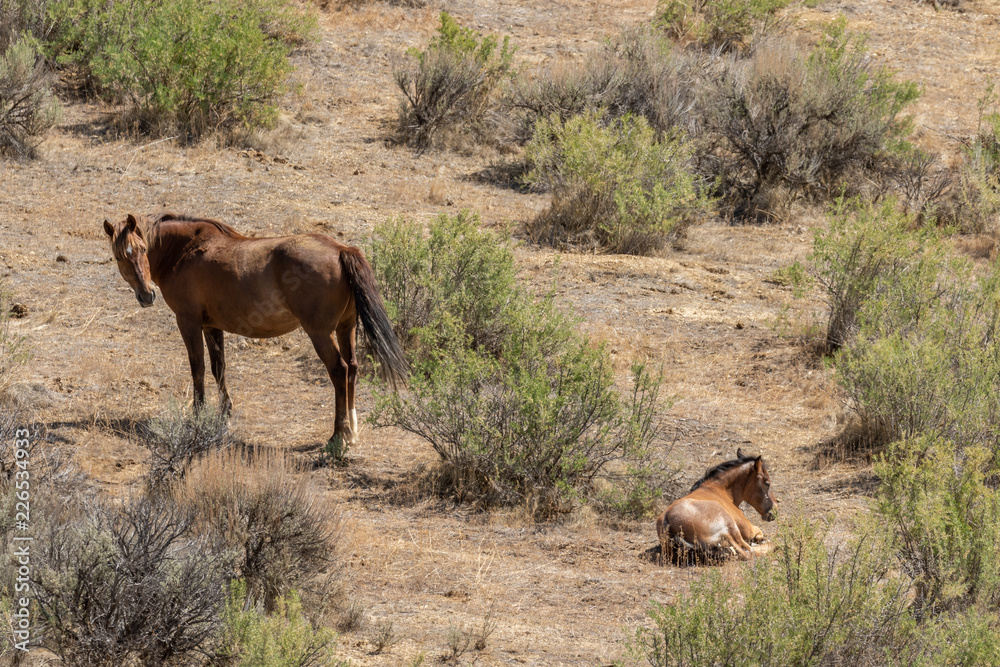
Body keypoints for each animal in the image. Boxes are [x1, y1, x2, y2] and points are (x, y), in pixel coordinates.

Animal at [103, 214, 408, 448]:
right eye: (119, 256)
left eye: (142, 249)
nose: (146, 295)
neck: (185, 250)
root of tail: (340, 249)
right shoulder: (212, 326)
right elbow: (219, 368)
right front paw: (224, 414)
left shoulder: (188, 321)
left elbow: (197, 368)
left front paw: (197, 416)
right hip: (347, 328)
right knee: (353, 368)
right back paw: (352, 432)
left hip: (321, 333)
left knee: (339, 370)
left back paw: (337, 435)